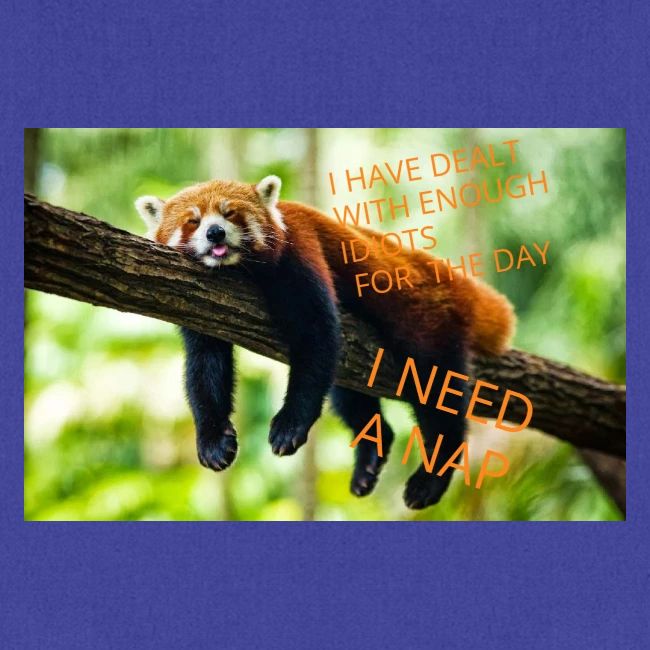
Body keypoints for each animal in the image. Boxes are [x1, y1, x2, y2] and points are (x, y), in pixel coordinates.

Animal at [136, 175, 515, 509]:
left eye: (230, 214)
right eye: (193, 221)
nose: (215, 232)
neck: (239, 270)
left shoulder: (300, 252)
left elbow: (316, 336)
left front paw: (290, 425)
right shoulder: (200, 303)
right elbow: (205, 366)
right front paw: (213, 440)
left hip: (427, 323)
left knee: (436, 392)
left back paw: (431, 477)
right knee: (348, 395)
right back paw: (370, 457)